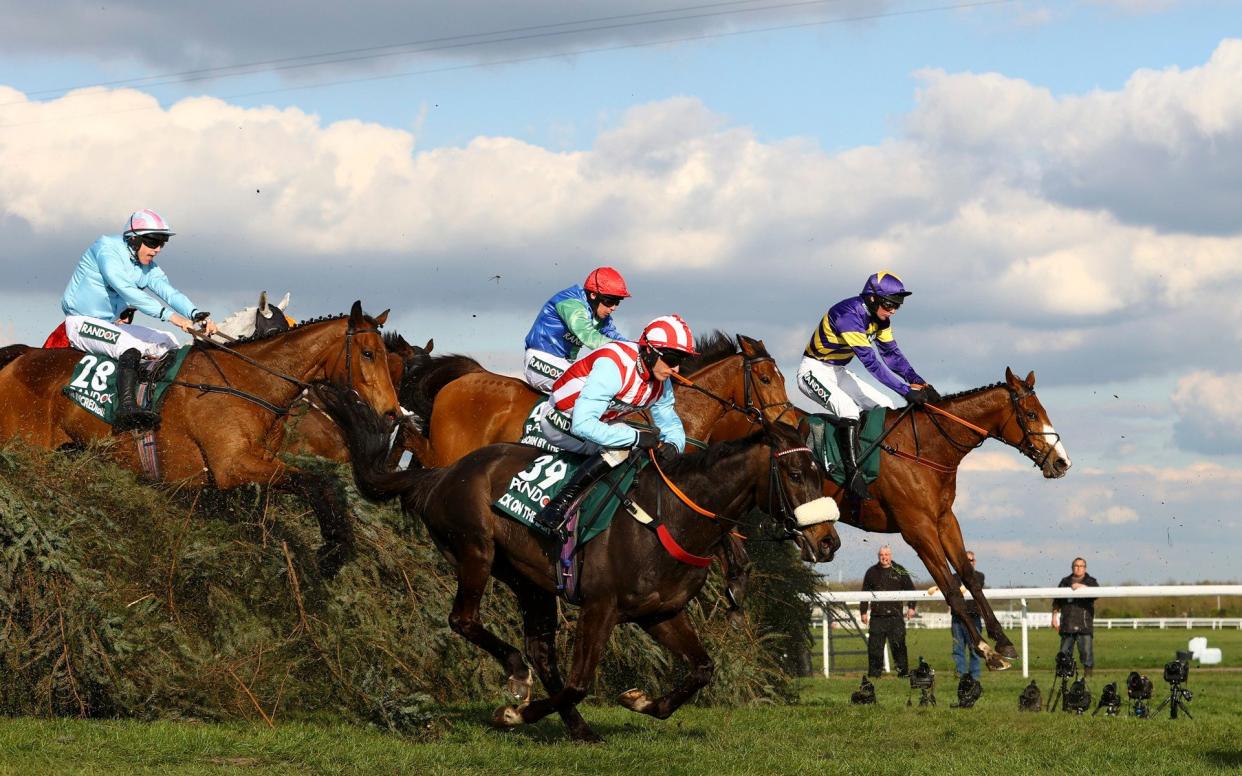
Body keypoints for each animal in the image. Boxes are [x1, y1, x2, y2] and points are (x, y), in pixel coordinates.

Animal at [0, 302, 399, 576]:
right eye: (368, 354)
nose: (392, 413)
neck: (248, 381)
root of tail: (20, 357)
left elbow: (309, 486)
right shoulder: (232, 465)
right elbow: (318, 483)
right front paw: (334, 549)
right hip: (24, 445)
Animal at [317, 384, 844, 739]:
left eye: (821, 470)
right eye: (795, 472)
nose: (828, 542)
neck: (670, 516)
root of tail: (442, 472)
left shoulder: (660, 612)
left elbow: (701, 669)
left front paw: (641, 700)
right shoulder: (599, 606)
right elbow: (581, 681)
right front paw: (515, 714)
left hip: (529, 579)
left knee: (541, 649)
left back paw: (575, 725)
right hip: (475, 552)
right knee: (465, 621)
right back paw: (519, 679)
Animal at [775, 367, 1068, 665]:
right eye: (1031, 414)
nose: (1061, 462)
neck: (925, 449)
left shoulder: (944, 519)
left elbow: (969, 577)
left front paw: (1003, 641)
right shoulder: (918, 528)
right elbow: (950, 587)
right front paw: (985, 649)